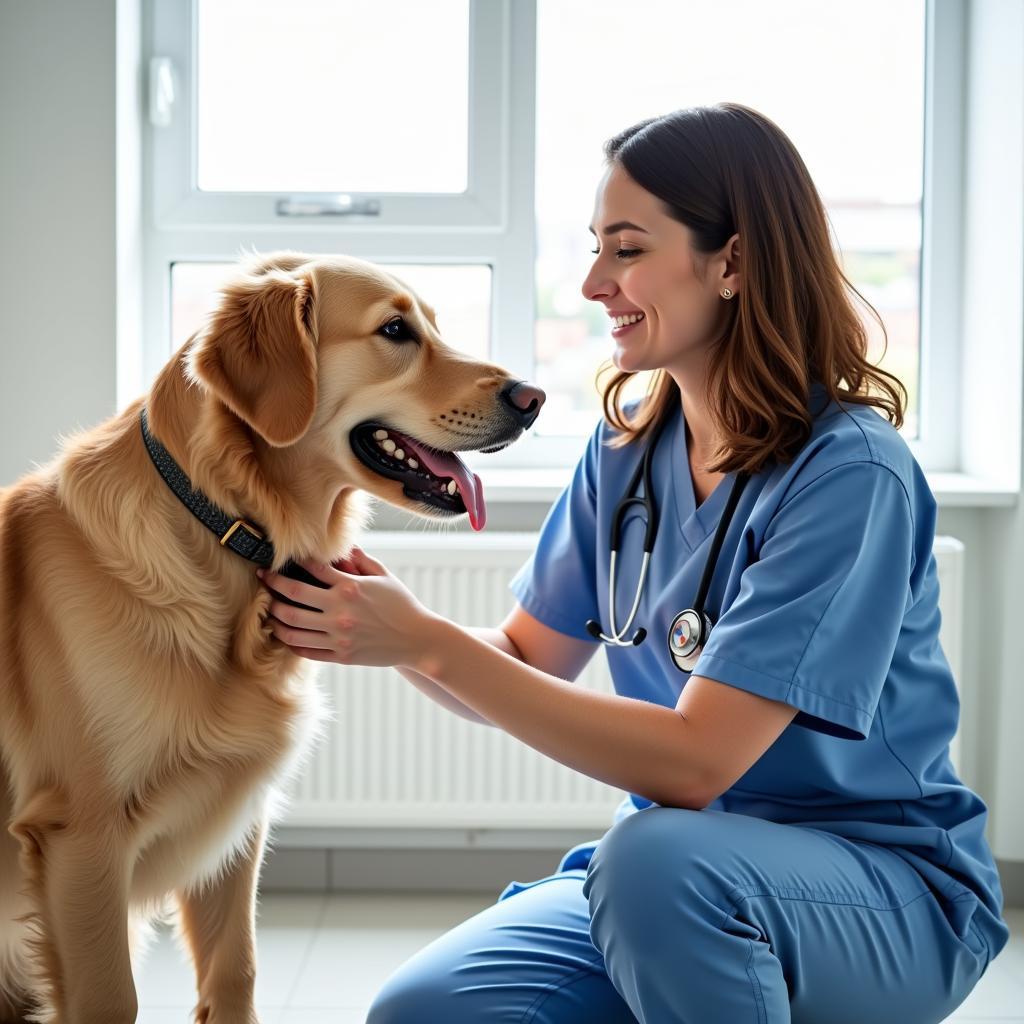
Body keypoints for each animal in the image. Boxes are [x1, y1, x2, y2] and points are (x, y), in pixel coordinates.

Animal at [0, 249, 544, 1024]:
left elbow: (236, 973)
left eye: (434, 324)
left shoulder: (233, 815)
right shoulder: (81, 836)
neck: (221, 526)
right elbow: (112, 997)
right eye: (396, 330)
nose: (534, 399)